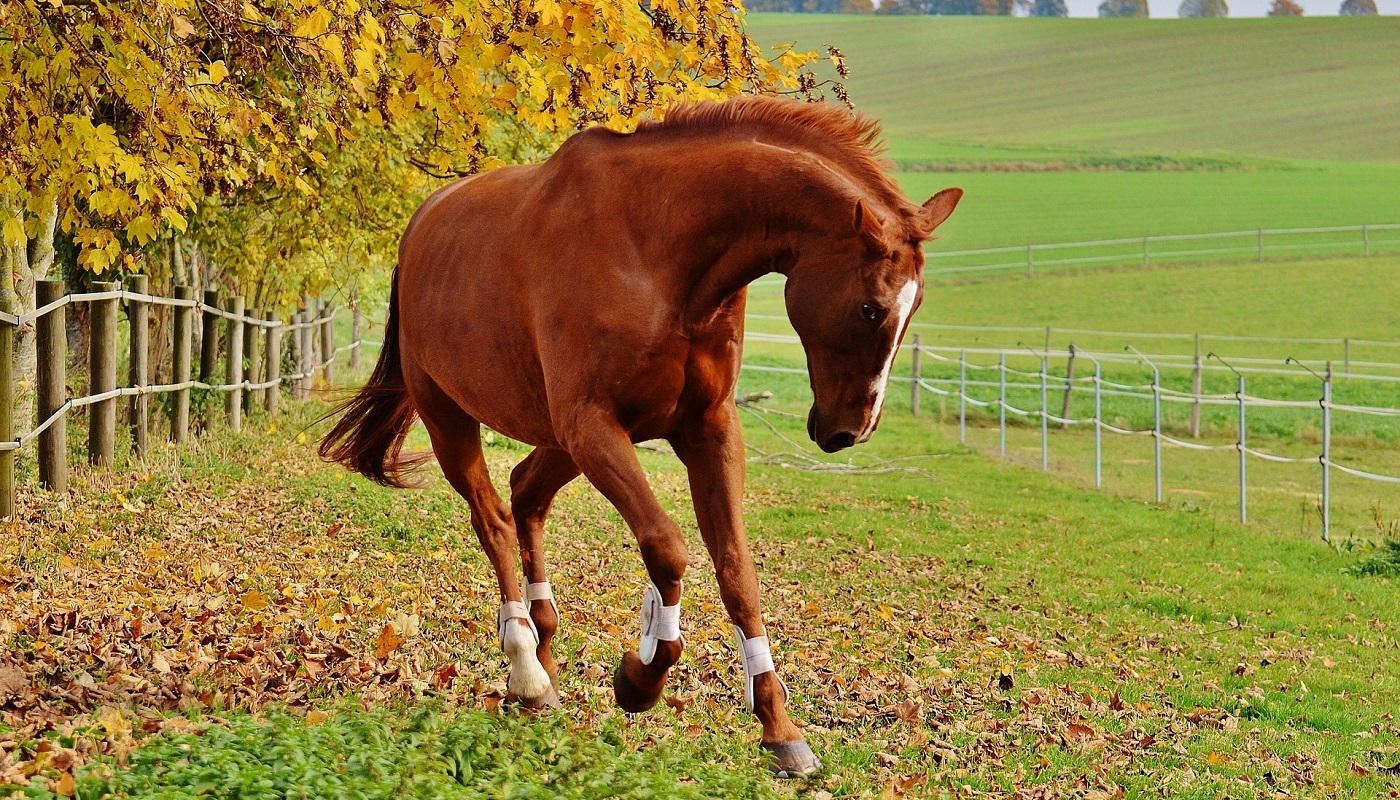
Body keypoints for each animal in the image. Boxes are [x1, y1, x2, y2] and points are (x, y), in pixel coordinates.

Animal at [322, 95, 963, 778]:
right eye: (872, 307)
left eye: (914, 308)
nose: (849, 431)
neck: (658, 250)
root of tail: (421, 226)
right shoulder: (595, 426)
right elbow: (668, 549)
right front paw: (639, 677)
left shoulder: (707, 431)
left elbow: (737, 572)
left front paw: (779, 728)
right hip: (453, 420)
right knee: (493, 519)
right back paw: (526, 669)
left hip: (558, 443)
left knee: (525, 493)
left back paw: (544, 661)